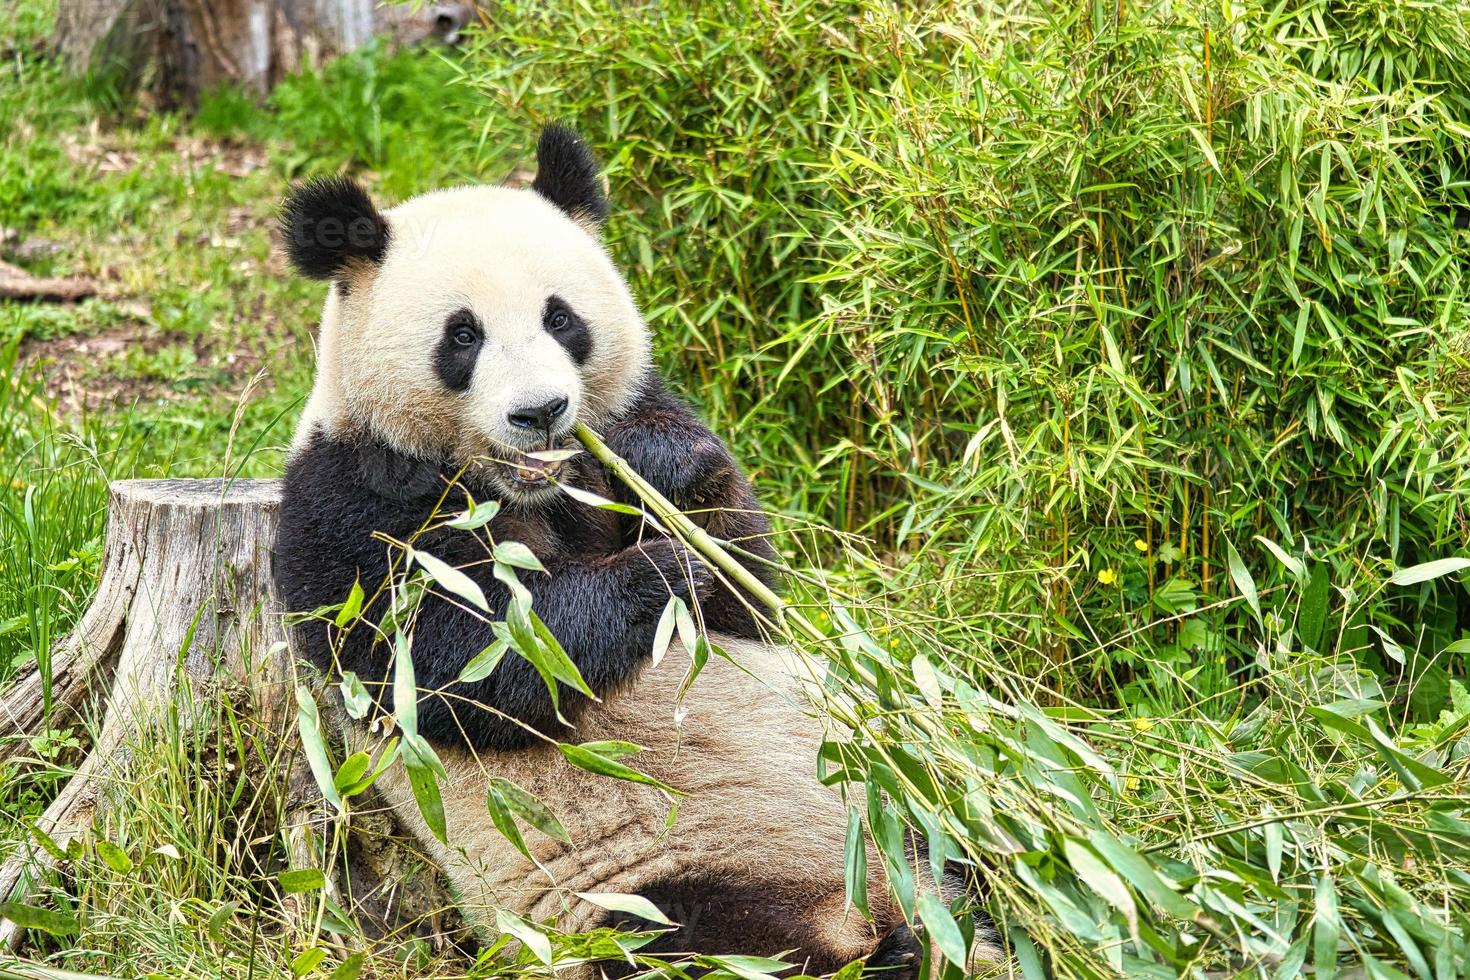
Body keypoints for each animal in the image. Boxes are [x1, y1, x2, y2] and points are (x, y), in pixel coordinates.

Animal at [273, 126, 999, 975]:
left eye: (561, 319)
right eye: (463, 335)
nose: (542, 411)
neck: (530, 485)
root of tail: (867, 895)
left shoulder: (630, 427)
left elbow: (749, 594)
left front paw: (664, 474)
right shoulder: (353, 501)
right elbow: (455, 660)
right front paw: (657, 575)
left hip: (899, 793)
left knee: (968, 819)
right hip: (646, 888)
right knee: (713, 941)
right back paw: (890, 949)